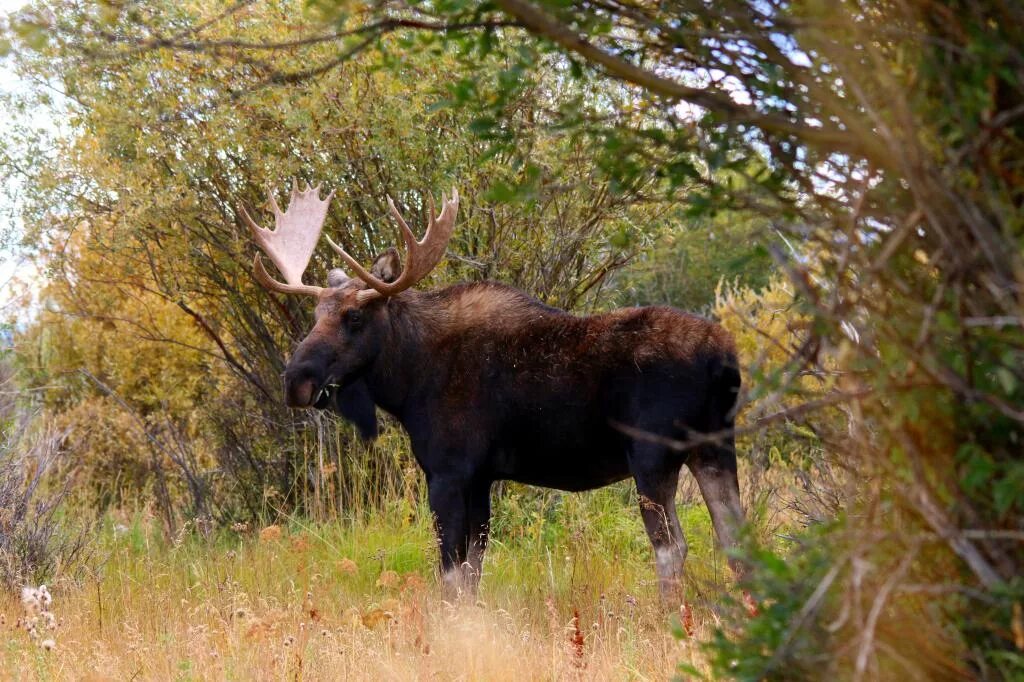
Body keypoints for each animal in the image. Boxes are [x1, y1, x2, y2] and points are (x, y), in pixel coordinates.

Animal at [243, 182, 749, 602]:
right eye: (316, 316)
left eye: (353, 317)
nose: (296, 380)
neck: (408, 381)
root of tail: (724, 358)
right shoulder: (482, 476)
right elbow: (473, 569)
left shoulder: (448, 471)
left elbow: (450, 572)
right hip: (713, 448)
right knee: (734, 538)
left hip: (653, 456)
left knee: (672, 546)